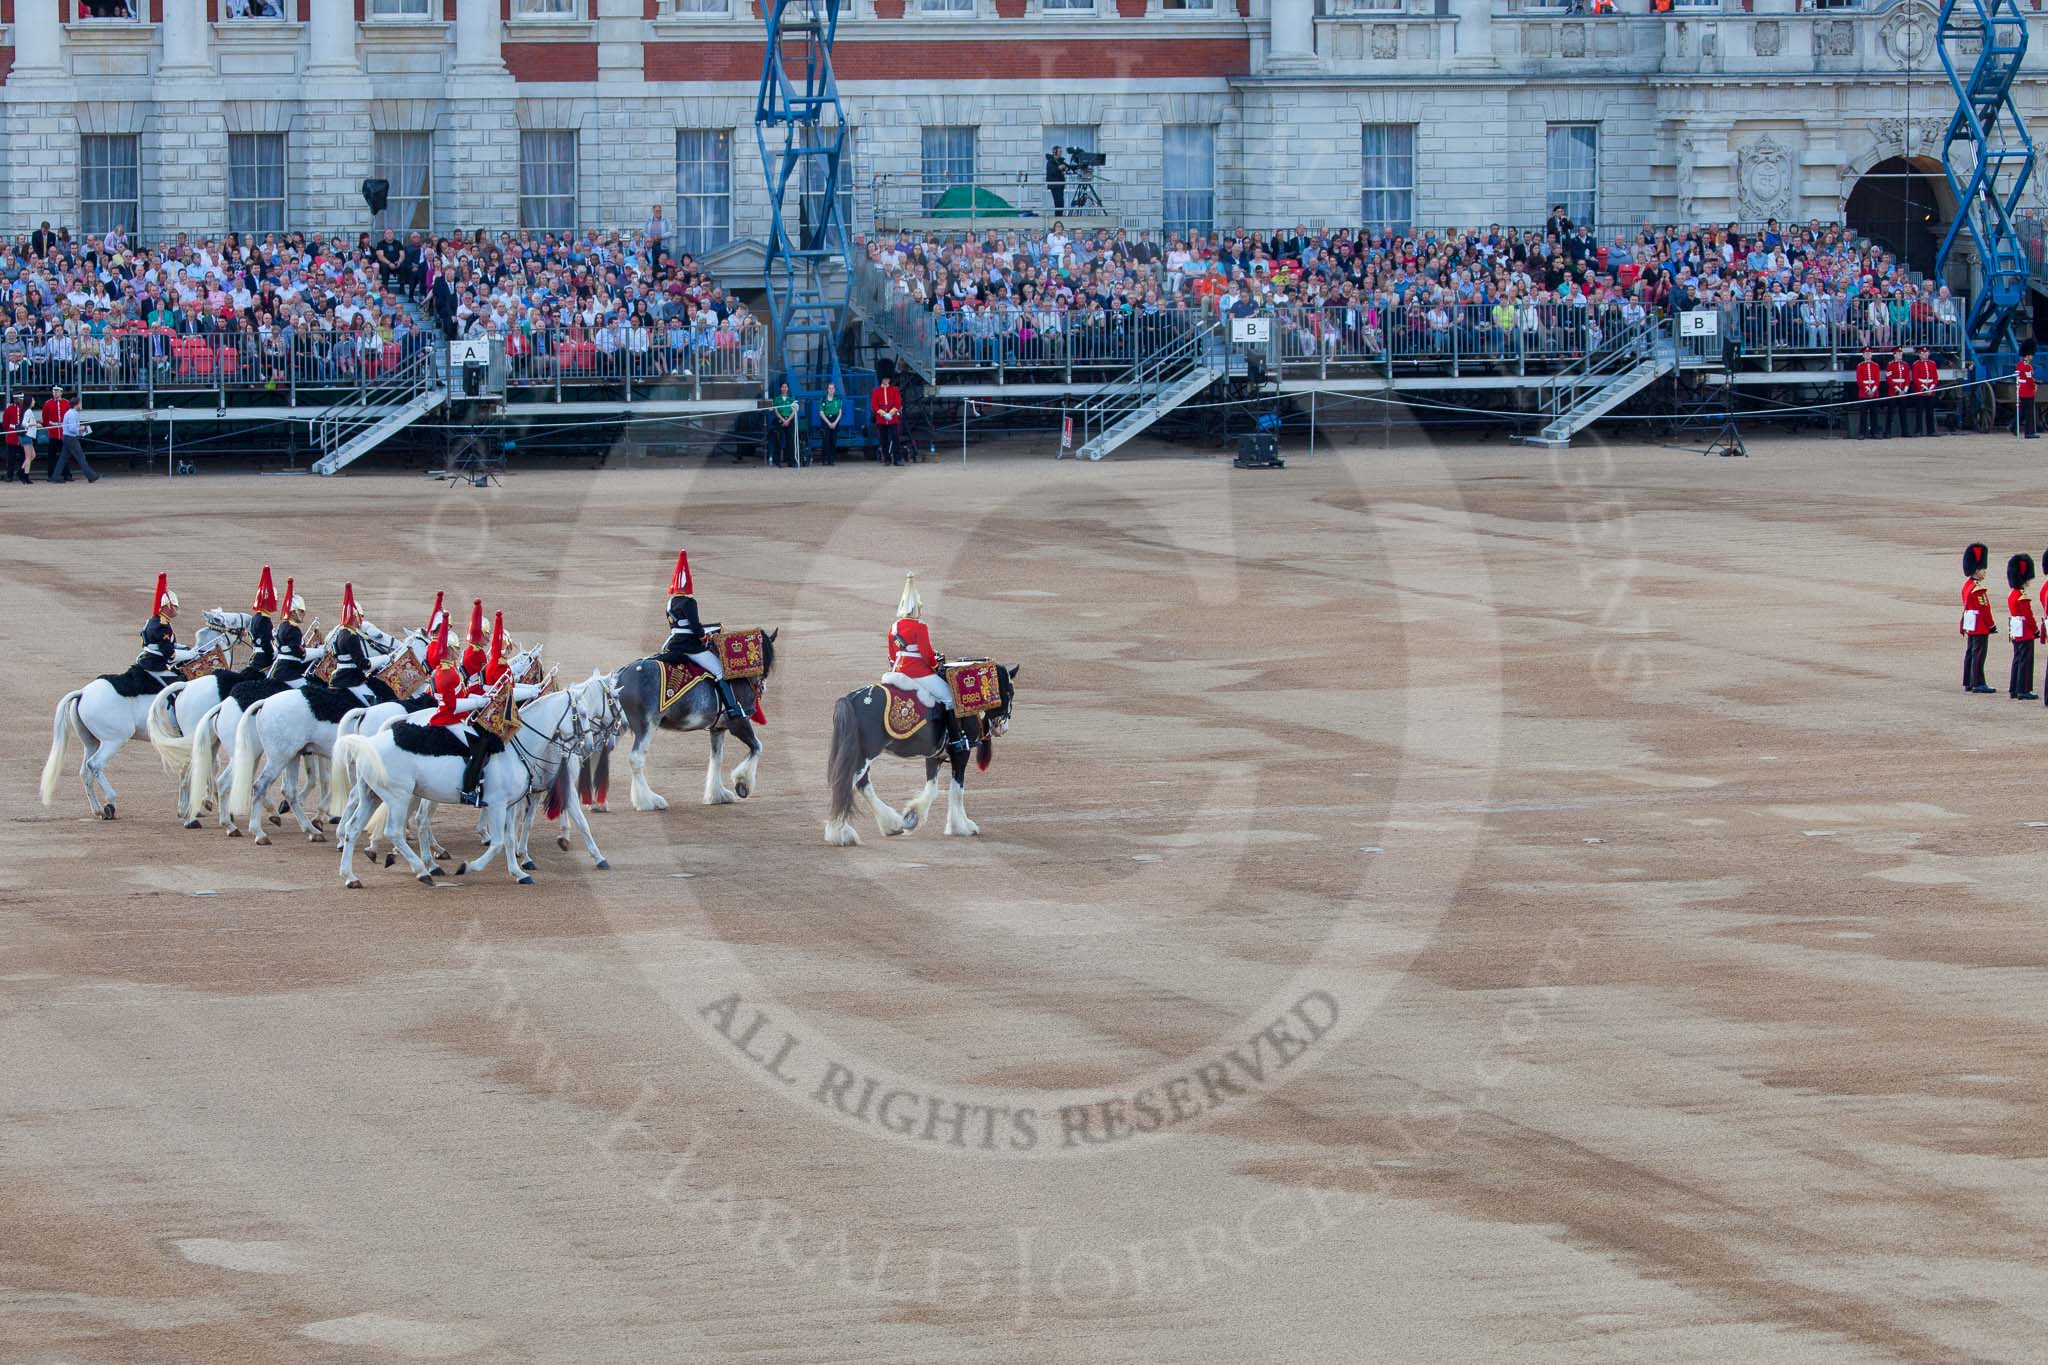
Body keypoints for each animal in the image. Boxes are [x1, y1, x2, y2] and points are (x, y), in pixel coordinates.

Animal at [329, 671, 606, 888]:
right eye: (581, 713)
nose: (588, 745)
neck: (517, 745)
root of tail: (369, 743)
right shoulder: (497, 804)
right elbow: (497, 842)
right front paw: (469, 867)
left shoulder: (510, 804)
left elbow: (508, 838)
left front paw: (518, 872)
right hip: (399, 797)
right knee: (395, 831)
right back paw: (422, 870)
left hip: (373, 795)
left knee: (355, 828)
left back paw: (351, 875)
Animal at [602, 630, 778, 810]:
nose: (762, 687)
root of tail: (619, 677)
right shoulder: (738, 723)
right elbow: (757, 747)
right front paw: (742, 784)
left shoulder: (718, 728)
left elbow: (717, 758)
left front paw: (717, 794)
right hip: (647, 726)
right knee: (636, 759)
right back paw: (649, 801)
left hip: (619, 727)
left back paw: (599, 803)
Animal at [823, 663, 1015, 843]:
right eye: (1009, 692)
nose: (1002, 727)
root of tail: (851, 698)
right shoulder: (961, 753)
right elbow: (957, 790)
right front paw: (962, 827)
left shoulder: (935, 755)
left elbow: (932, 788)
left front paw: (913, 816)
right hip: (864, 755)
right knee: (846, 784)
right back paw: (840, 833)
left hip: (860, 754)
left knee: (862, 784)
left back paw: (890, 825)